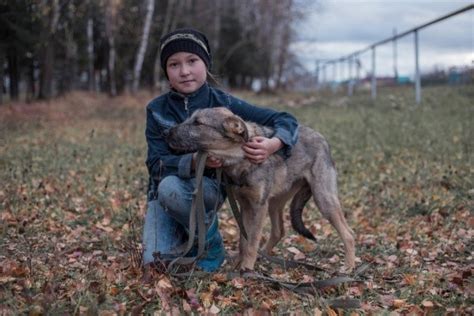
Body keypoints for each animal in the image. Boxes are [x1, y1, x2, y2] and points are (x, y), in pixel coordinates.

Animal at [167, 107, 356, 270]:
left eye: (198, 123)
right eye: (190, 118)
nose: (165, 132)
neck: (240, 156)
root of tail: (323, 140)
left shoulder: (258, 206)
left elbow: (252, 241)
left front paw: (246, 269)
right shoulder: (245, 206)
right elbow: (244, 241)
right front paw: (240, 263)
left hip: (323, 200)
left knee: (349, 234)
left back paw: (348, 267)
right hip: (274, 203)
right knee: (279, 231)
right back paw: (264, 256)